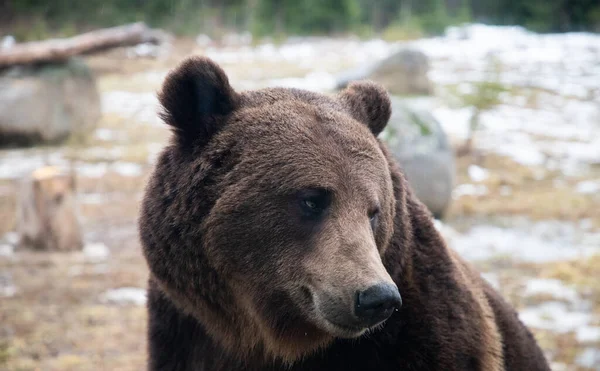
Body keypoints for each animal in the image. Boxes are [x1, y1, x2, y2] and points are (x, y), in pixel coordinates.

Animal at [138, 56, 552, 371]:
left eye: (374, 210)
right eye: (311, 199)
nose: (375, 297)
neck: (271, 338)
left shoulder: (427, 334)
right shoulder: (188, 333)